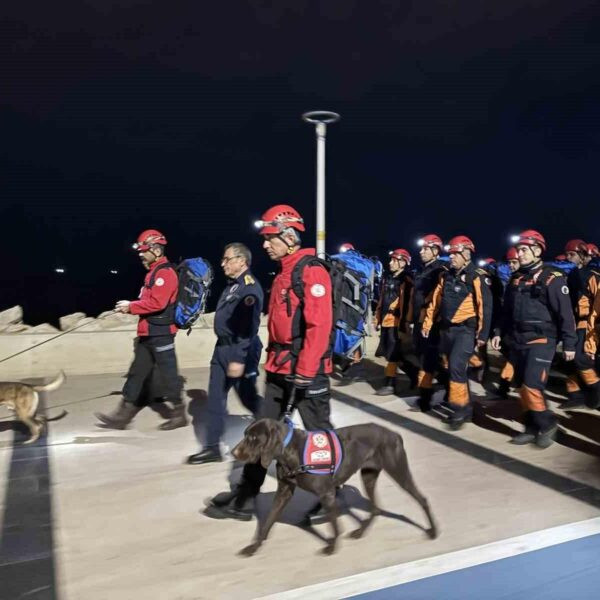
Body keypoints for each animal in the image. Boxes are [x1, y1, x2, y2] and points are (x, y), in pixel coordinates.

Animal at [230, 420, 436, 556]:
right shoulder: (284, 492)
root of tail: (395, 434)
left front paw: (332, 546)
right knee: (376, 508)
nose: (233, 452)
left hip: (398, 472)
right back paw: (360, 531)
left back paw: (433, 531)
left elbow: (335, 524)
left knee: (423, 499)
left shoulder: (327, 494)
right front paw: (254, 546)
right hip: (368, 476)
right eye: (245, 434)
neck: (291, 451)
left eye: (253, 437)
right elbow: (267, 523)